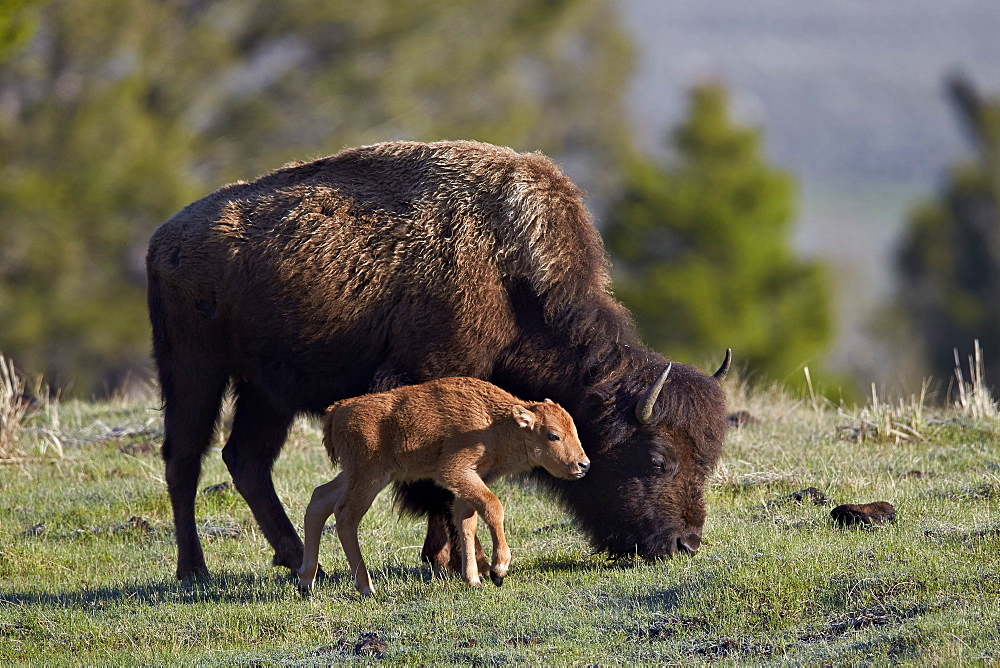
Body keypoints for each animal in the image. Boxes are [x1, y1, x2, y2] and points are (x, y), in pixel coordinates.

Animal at [300, 376, 588, 596]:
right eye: (553, 435)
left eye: (574, 429)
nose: (583, 464)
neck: (493, 420)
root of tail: (337, 410)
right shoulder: (455, 472)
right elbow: (493, 506)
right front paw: (498, 570)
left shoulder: (469, 483)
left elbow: (467, 521)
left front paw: (473, 579)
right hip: (369, 478)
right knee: (345, 515)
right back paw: (366, 586)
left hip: (354, 475)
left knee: (319, 500)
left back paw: (306, 581)